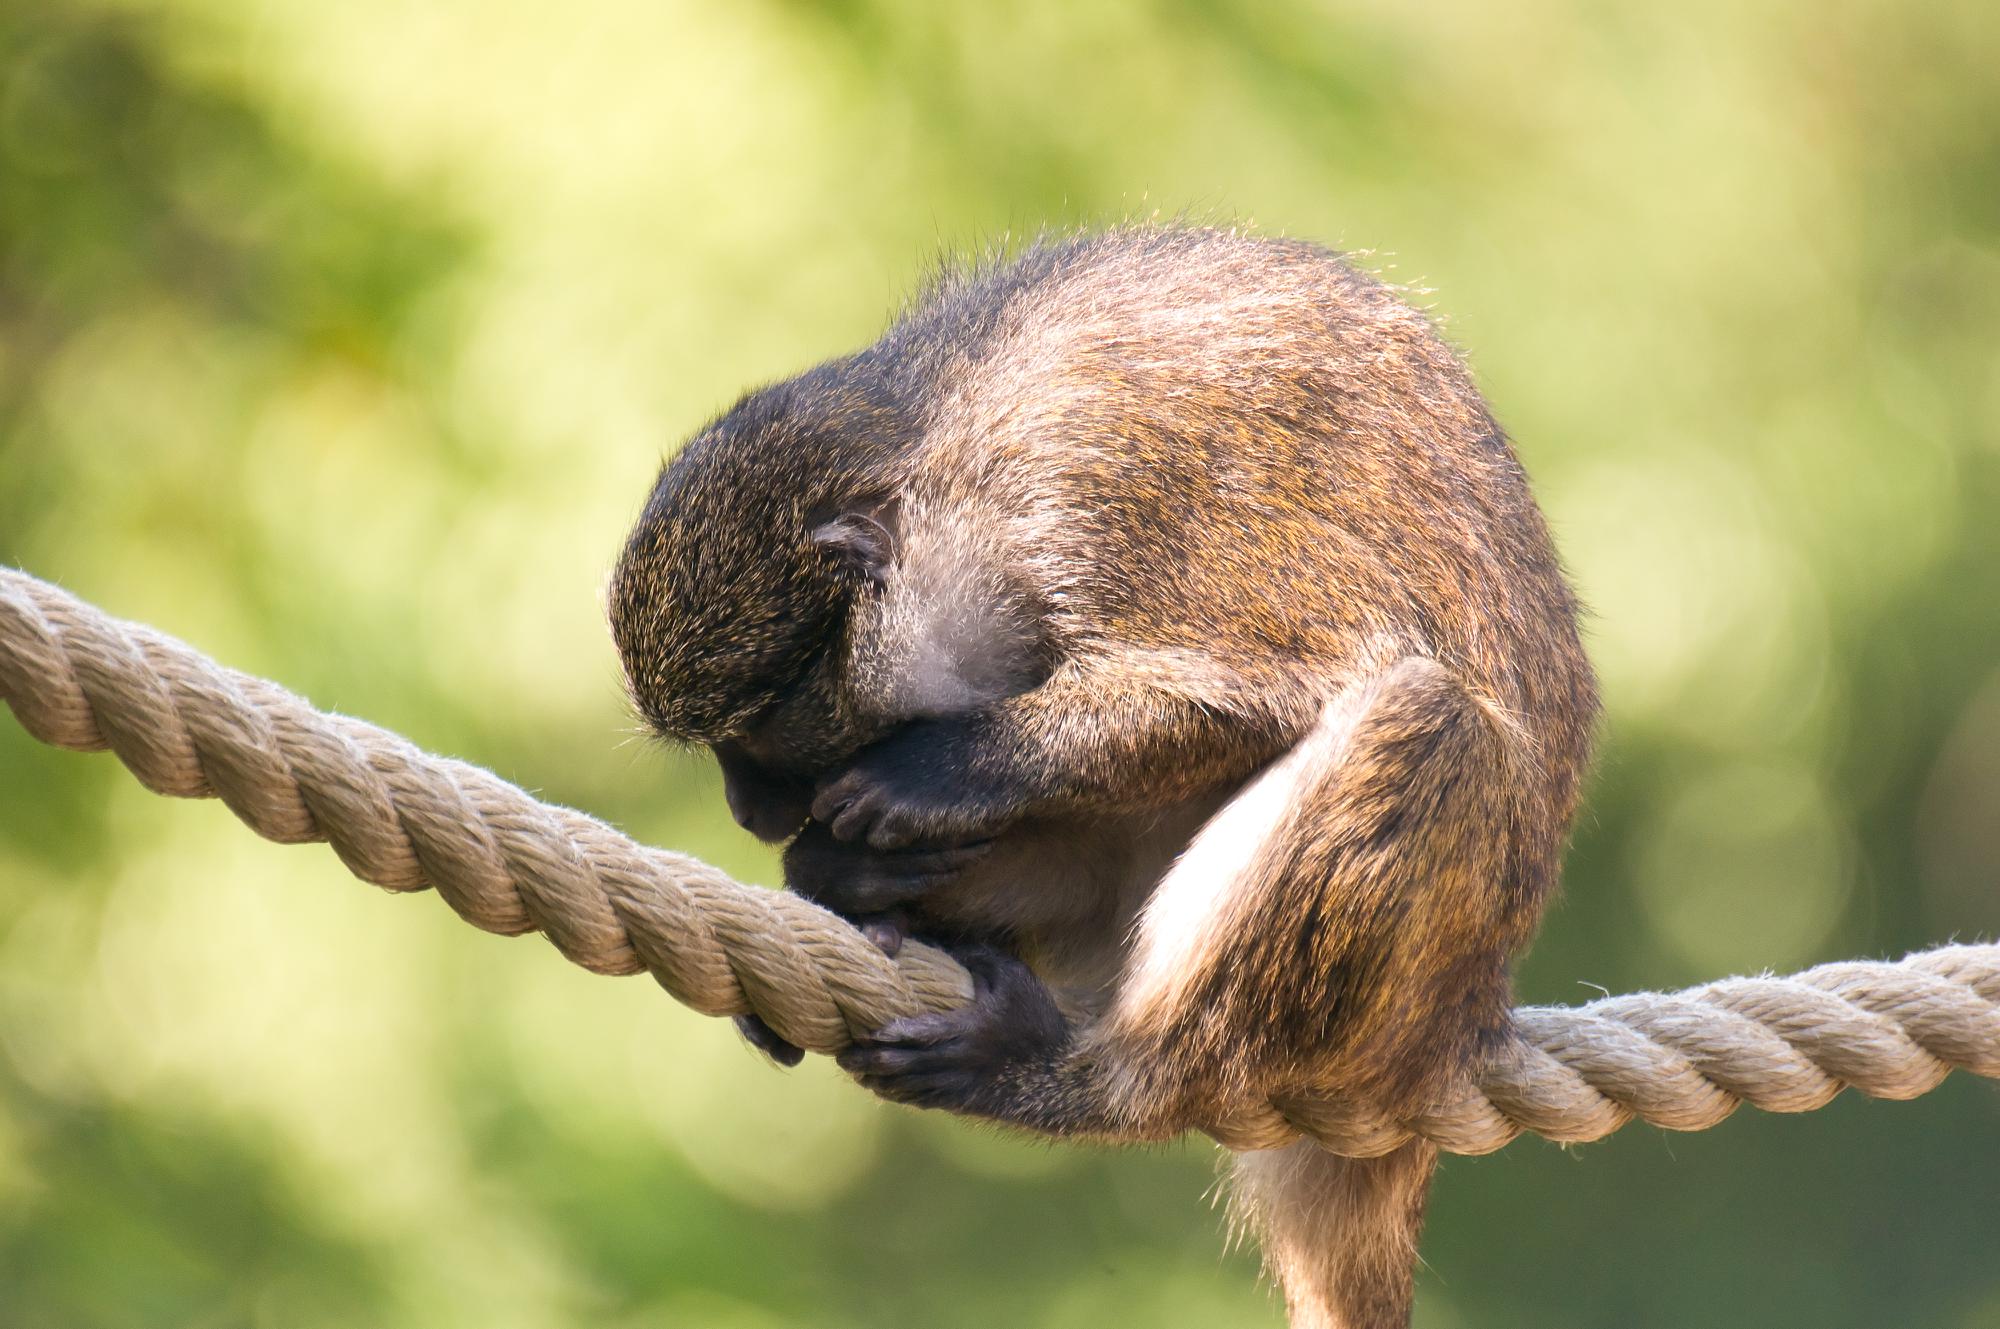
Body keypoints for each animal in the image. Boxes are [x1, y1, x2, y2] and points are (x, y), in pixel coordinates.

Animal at [604, 228, 1592, 1329]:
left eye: (764, 726)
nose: (748, 808)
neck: (943, 451)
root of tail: (1466, 1012)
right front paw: (843, 865)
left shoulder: (1090, 489)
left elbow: (1264, 689)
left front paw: (943, 770)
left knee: (1431, 721)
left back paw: (1093, 1079)